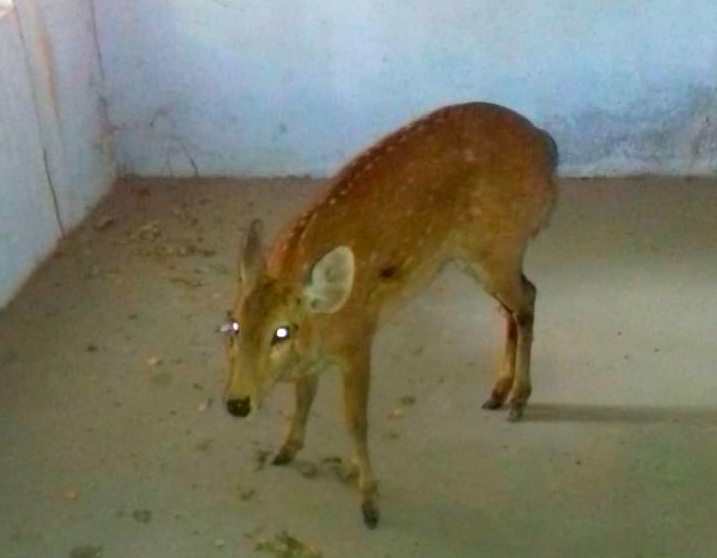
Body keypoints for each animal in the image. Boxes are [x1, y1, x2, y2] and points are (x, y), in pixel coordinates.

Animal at [221, 101, 556, 528]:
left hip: (500, 243)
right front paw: (286, 450)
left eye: (281, 332)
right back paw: (498, 393)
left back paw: (518, 401)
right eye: (233, 325)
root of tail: (545, 146)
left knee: (527, 300)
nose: (237, 404)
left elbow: (356, 420)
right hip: (476, 256)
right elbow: (304, 398)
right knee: (511, 307)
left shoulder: (359, 337)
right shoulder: (314, 358)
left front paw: (369, 502)